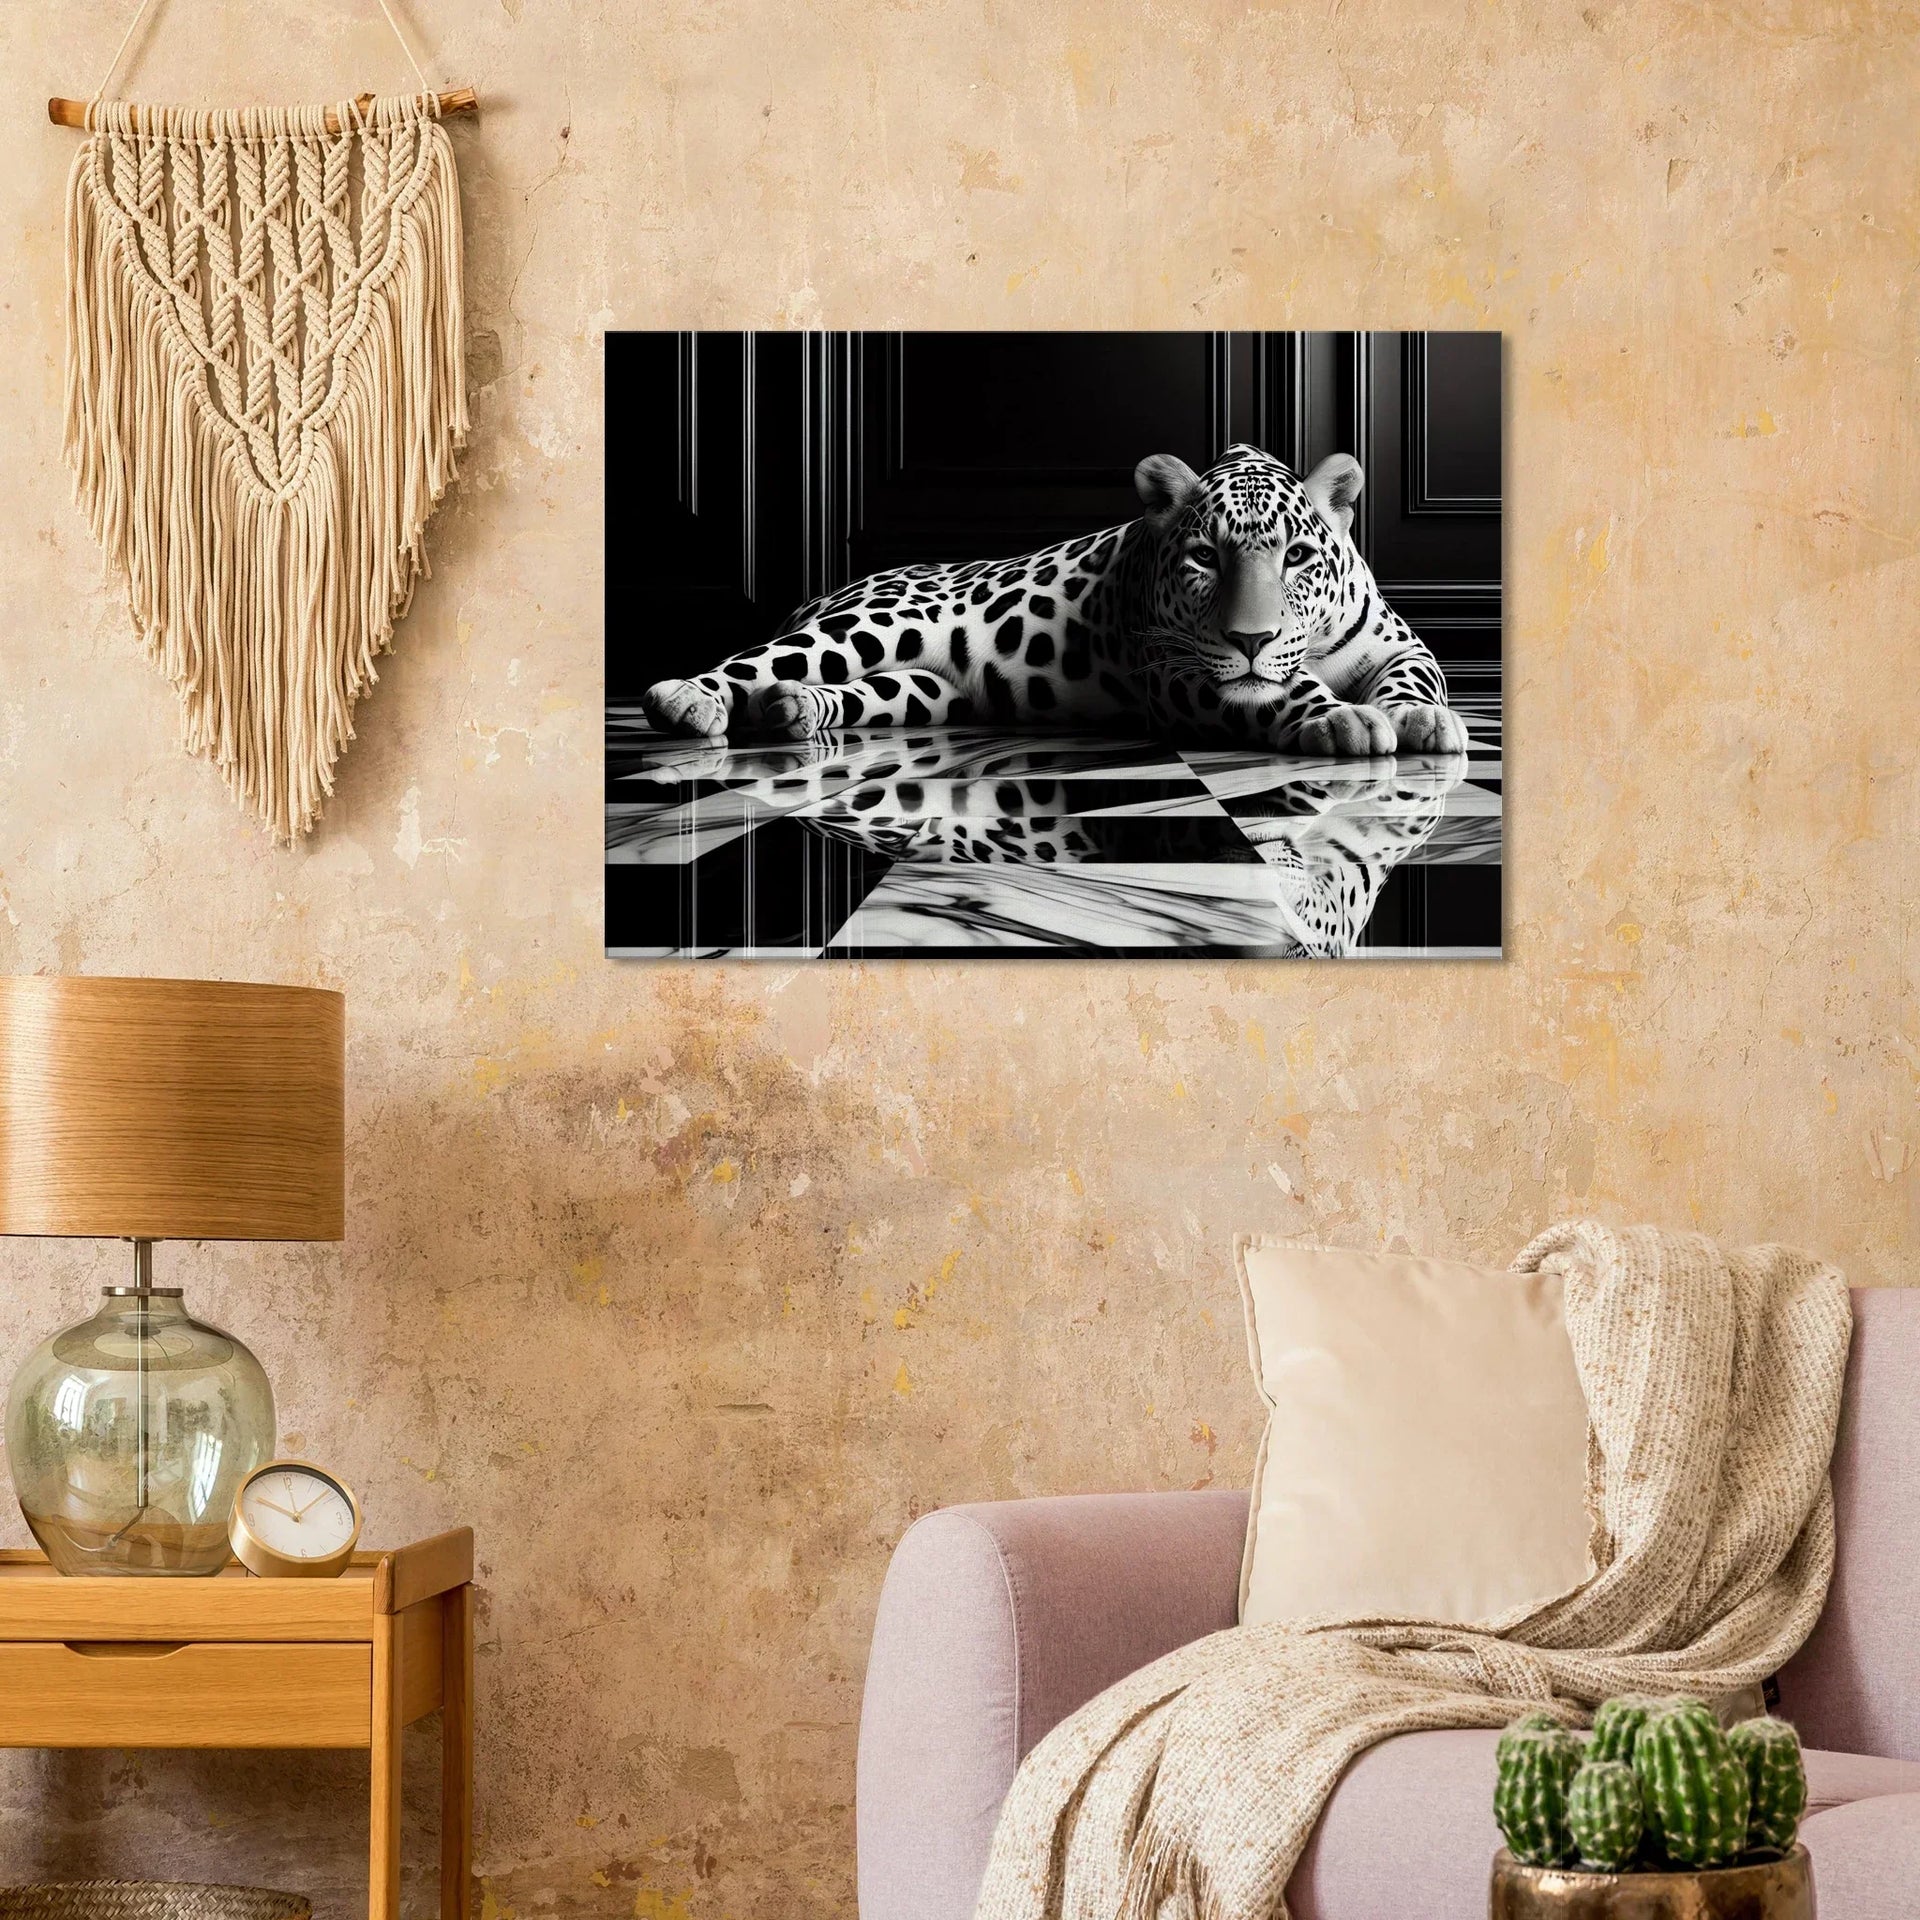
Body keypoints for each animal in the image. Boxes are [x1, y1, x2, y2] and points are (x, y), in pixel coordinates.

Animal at [639, 443, 1470, 757]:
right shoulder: (1183, 672)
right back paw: (689, 700)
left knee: (847, 690)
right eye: (1205, 557)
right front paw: (1342, 720)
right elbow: (1282, 689)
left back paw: (795, 710)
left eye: (1297, 557)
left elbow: (1414, 676)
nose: (1251, 640)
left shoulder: (1398, 641)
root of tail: (829, 590)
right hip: (877, 624)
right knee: (760, 660)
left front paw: (1421, 718)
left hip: (926, 691)